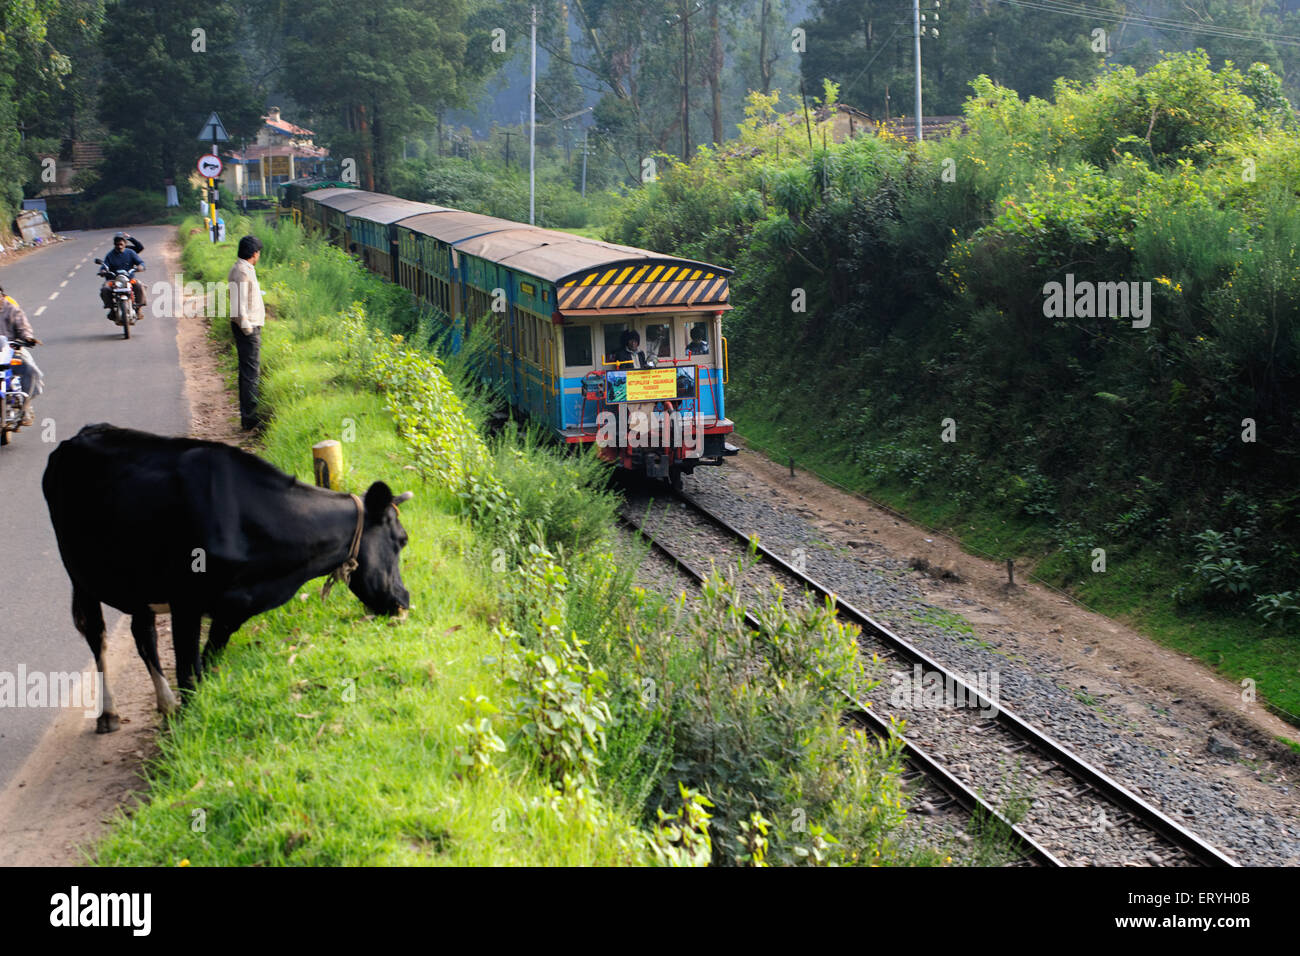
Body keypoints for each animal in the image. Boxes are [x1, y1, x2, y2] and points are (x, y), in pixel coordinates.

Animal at [44, 424, 410, 733]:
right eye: (402, 540)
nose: (404, 599)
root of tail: (81, 434)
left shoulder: (232, 609)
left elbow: (206, 665)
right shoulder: (186, 603)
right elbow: (188, 673)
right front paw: (188, 729)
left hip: (136, 582)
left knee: (142, 632)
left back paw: (165, 704)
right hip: (80, 574)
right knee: (97, 634)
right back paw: (108, 714)